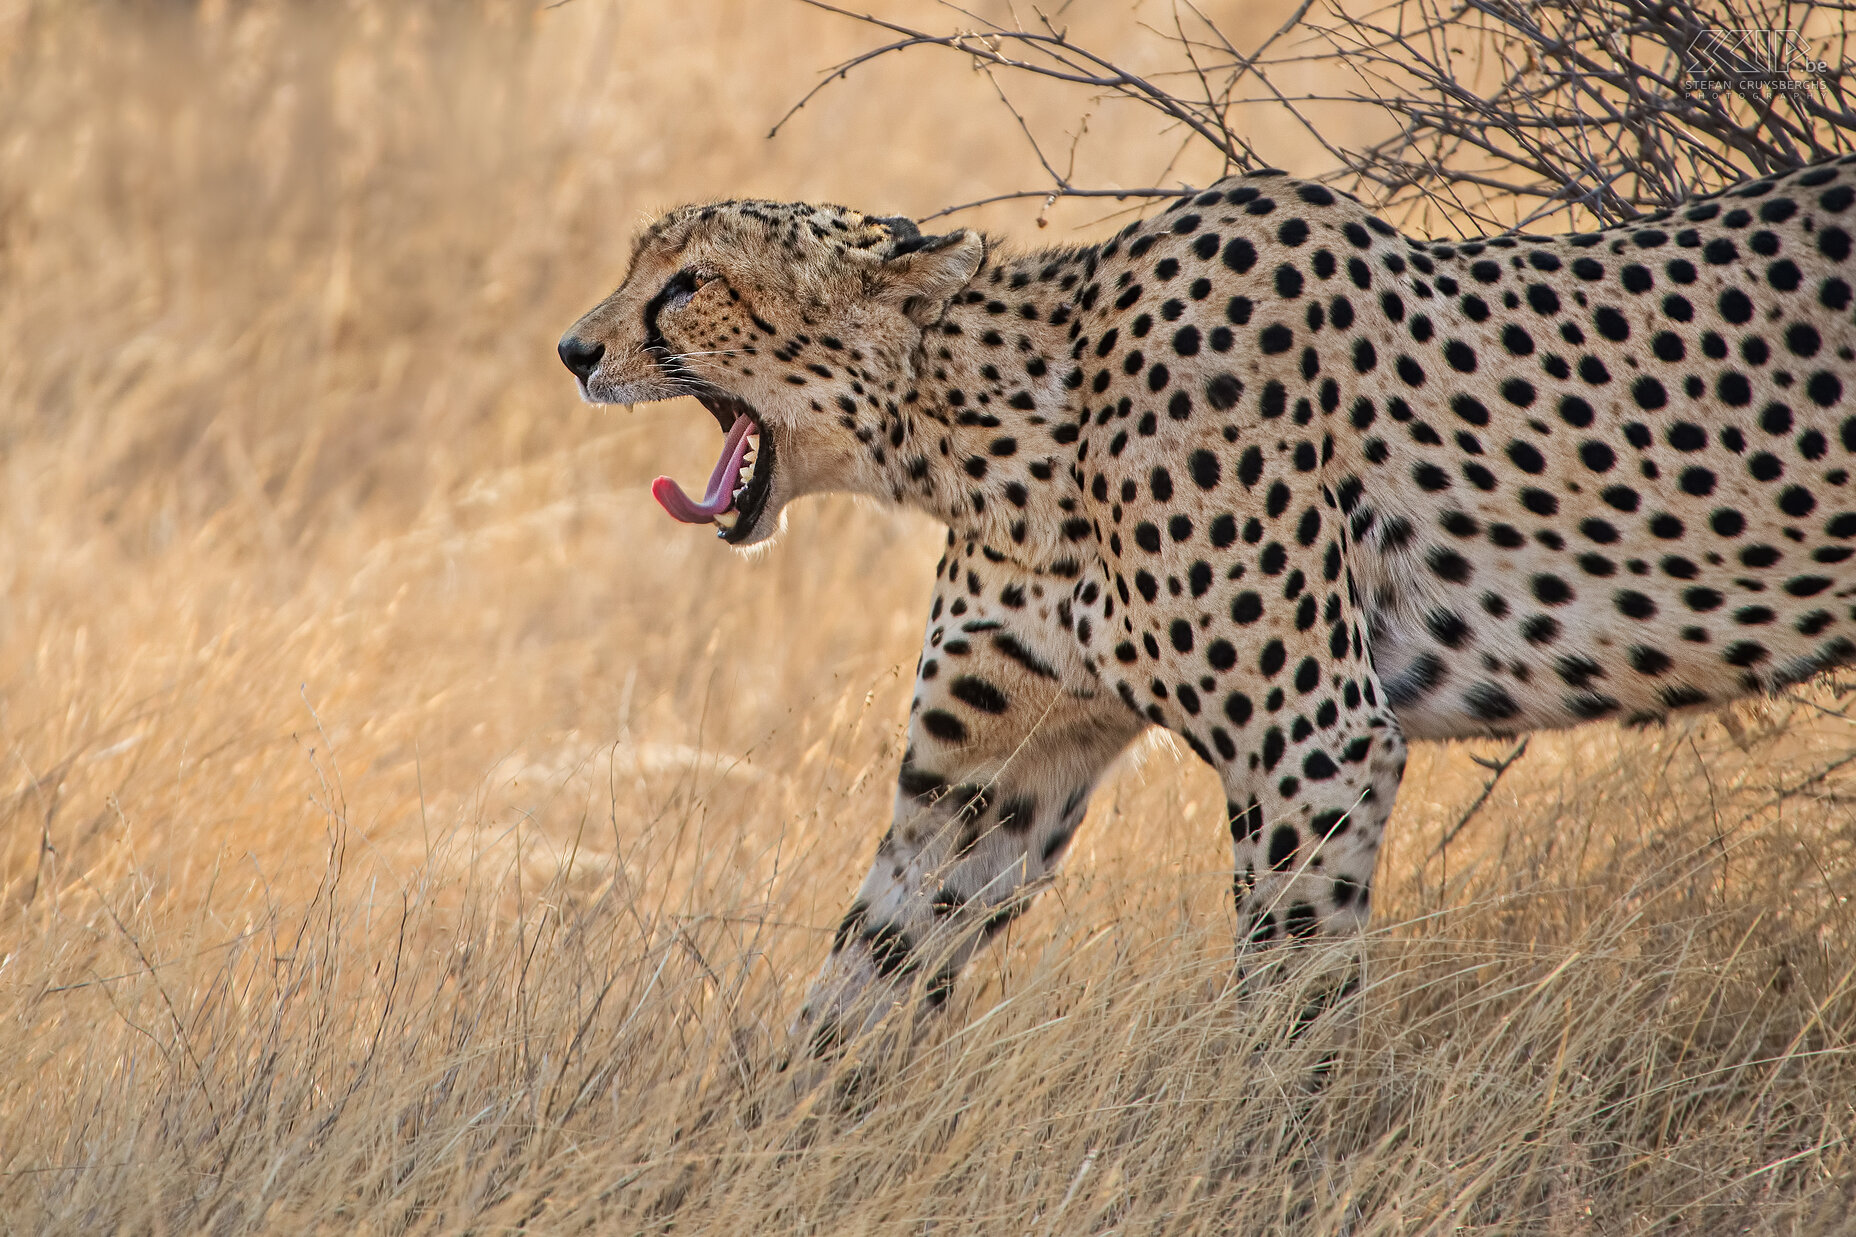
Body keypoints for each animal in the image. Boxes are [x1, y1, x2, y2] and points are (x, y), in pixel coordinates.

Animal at [556, 158, 1856, 1047]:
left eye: (690, 284)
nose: (572, 350)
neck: (1002, 426)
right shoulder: (984, 778)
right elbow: (861, 976)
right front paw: (754, 1154)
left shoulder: (1313, 743)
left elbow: (1286, 1008)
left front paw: (1282, 1166)